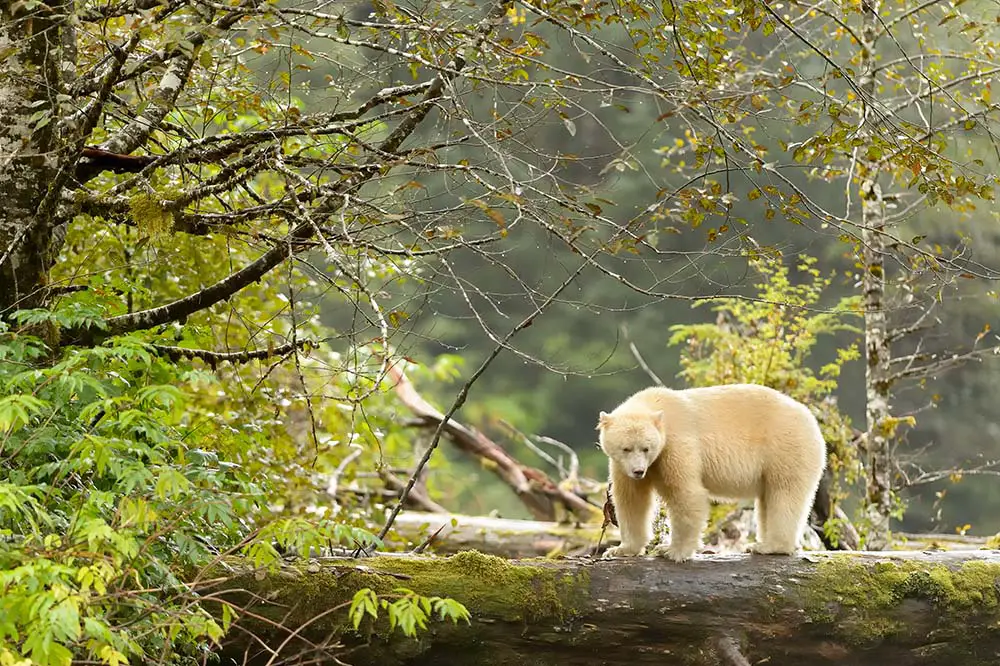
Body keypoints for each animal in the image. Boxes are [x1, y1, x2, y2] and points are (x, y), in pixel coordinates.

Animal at [596, 384, 824, 560]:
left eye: (646, 448)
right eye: (626, 448)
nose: (638, 471)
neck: (657, 405)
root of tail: (812, 420)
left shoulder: (676, 444)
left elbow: (686, 493)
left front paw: (672, 551)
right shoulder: (623, 465)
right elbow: (631, 500)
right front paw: (619, 550)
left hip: (785, 447)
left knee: (784, 493)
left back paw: (770, 546)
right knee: (768, 498)